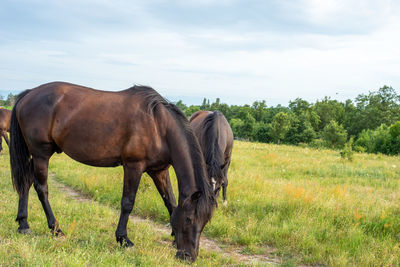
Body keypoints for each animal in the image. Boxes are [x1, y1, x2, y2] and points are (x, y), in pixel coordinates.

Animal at [9, 81, 216, 262]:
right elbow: (127, 203)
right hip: (41, 154)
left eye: (204, 223)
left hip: (39, 154)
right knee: (41, 189)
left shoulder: (159, 171)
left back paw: (23, 225)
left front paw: (173, 239)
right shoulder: (133, 166)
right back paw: (56, 229)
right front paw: (124, 239)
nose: (188, 257)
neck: (158, 125)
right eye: (189, 219)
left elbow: (171, 204)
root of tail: (29, 94)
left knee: (26, 182)